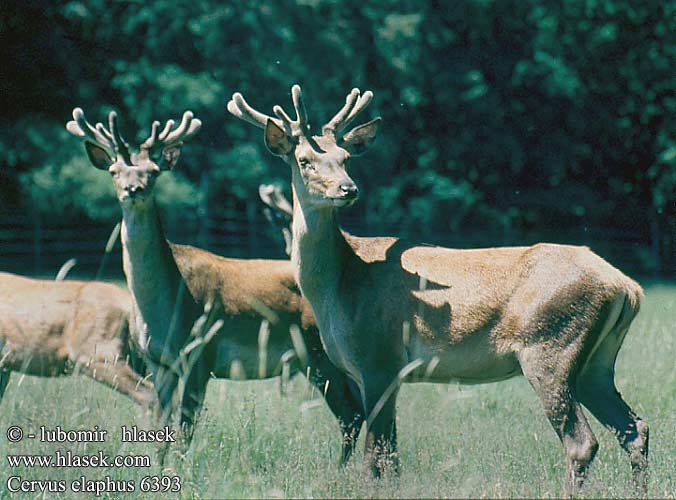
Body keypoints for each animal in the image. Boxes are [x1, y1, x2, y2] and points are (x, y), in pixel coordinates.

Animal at [66, 108, 364, 464]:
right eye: (114, 170)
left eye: (153, 172)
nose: (133, 188)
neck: (167, 304)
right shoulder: (158, 361)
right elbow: (161, 425)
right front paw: (158, 465)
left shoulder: (201, 353)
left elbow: (185, 429)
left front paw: (181, 468)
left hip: (319, 354)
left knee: (350, 413)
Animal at [228, 84, 648, 494]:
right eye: (304, 160)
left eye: (345, 158)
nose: (348, 188)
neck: (339, 286)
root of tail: (628, 287)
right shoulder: (381, 371)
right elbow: (392, 458)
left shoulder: (378, 357)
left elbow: (374, 461)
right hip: (596, 362)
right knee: (635, 429)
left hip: (550, 347)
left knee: (582, 442)